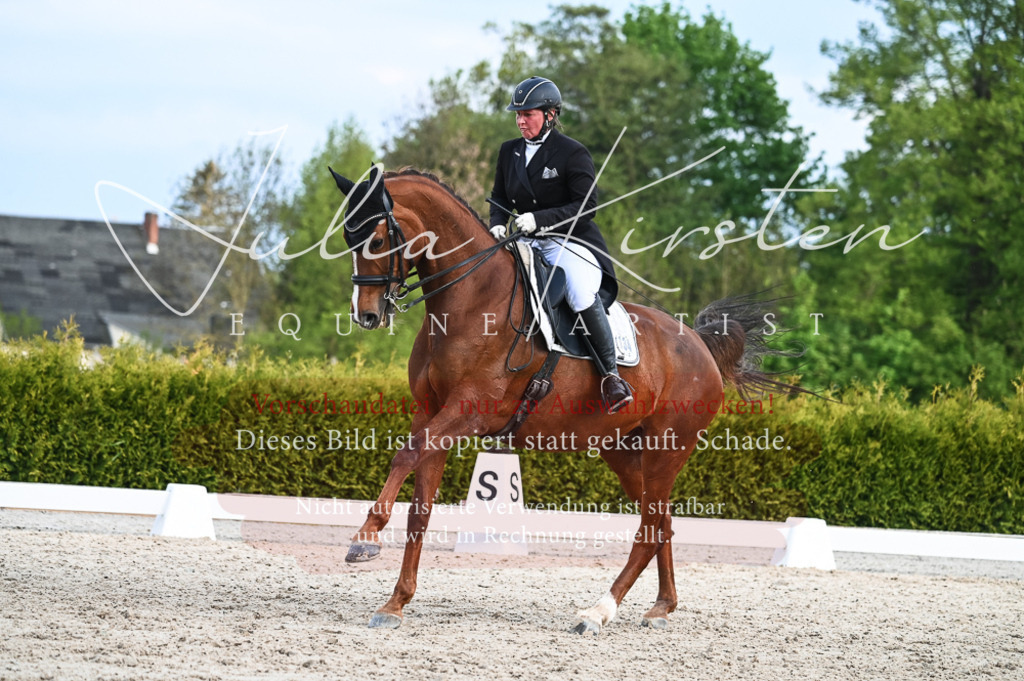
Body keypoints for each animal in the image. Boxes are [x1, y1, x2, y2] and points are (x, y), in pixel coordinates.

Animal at [329, 164, 791, 633]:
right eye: (348, 239)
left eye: (377, 241)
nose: (366, 315)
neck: (470, 299)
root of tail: (699, 344)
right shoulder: (431, 413)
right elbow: (420, 509)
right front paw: (395, 603)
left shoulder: (467, 411)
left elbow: (404, 456)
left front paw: (364, 540)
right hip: (625, 450)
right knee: (661, 522)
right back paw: (661, 606)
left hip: (668, 447)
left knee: (649, 528)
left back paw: (598, 611)